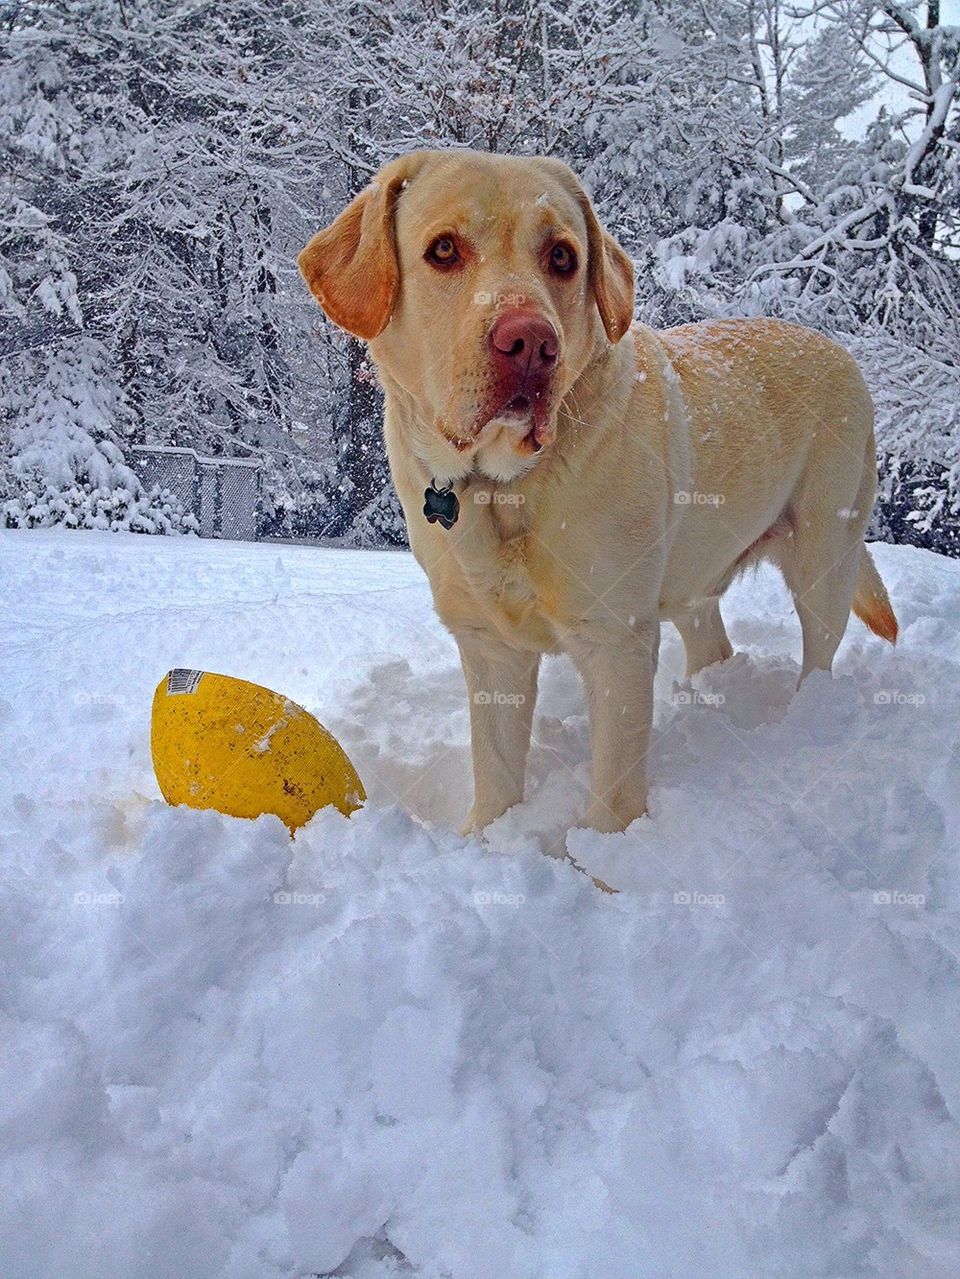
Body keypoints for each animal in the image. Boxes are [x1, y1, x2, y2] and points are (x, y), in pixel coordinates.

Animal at [296, 149, 899, 833]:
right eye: (443, 249)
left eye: (563, 257)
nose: (531, 342)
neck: (504, 486)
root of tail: (839, 350)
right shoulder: (488, 646)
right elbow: (495, 770)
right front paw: (489, 837)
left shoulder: (618, 641)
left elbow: (613, 789)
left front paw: (607, 854)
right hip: (694, 574)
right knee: (713, 642)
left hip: (823, 554)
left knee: (819, 650)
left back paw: (804, 718)